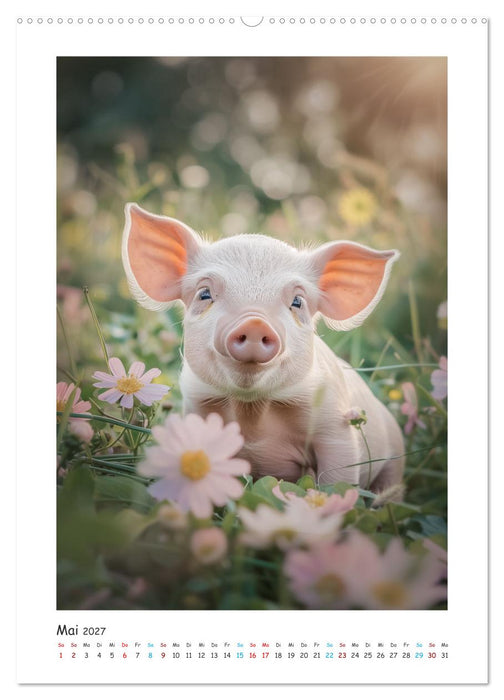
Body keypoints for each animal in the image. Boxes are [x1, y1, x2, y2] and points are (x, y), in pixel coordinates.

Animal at [122, 203, 405, 493]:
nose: (256, 322)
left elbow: (339, 477)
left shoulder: (336, 424)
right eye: (204, 294)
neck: (252, 411)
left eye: (298, 301)